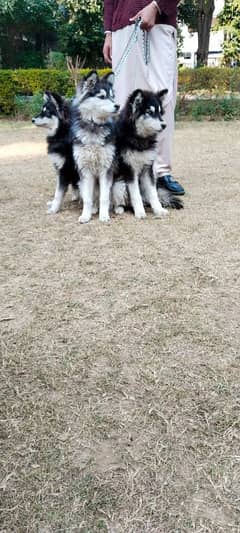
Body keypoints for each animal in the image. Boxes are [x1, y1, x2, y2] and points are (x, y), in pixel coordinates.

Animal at [71, 70, 119, 222]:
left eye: (112, 96)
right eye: (102, 97)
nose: (117, 106)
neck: (94, 126)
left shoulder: (106, 169)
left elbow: (104, 198)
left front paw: (104, 216)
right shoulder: (85, 170)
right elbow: (87, 198)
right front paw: (85, 216)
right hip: (80, 183)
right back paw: (93, 209)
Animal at [111, 88, 183, 217]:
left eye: (160, 112)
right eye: (149, 112)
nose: (164, 125)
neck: (139, 138)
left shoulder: (147, 168)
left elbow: (153, 193)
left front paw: (158, 209)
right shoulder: (130, 170)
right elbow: (135, 194)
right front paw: (139, 212)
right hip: (119, 184)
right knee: (121, 200)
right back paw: (120, 209)